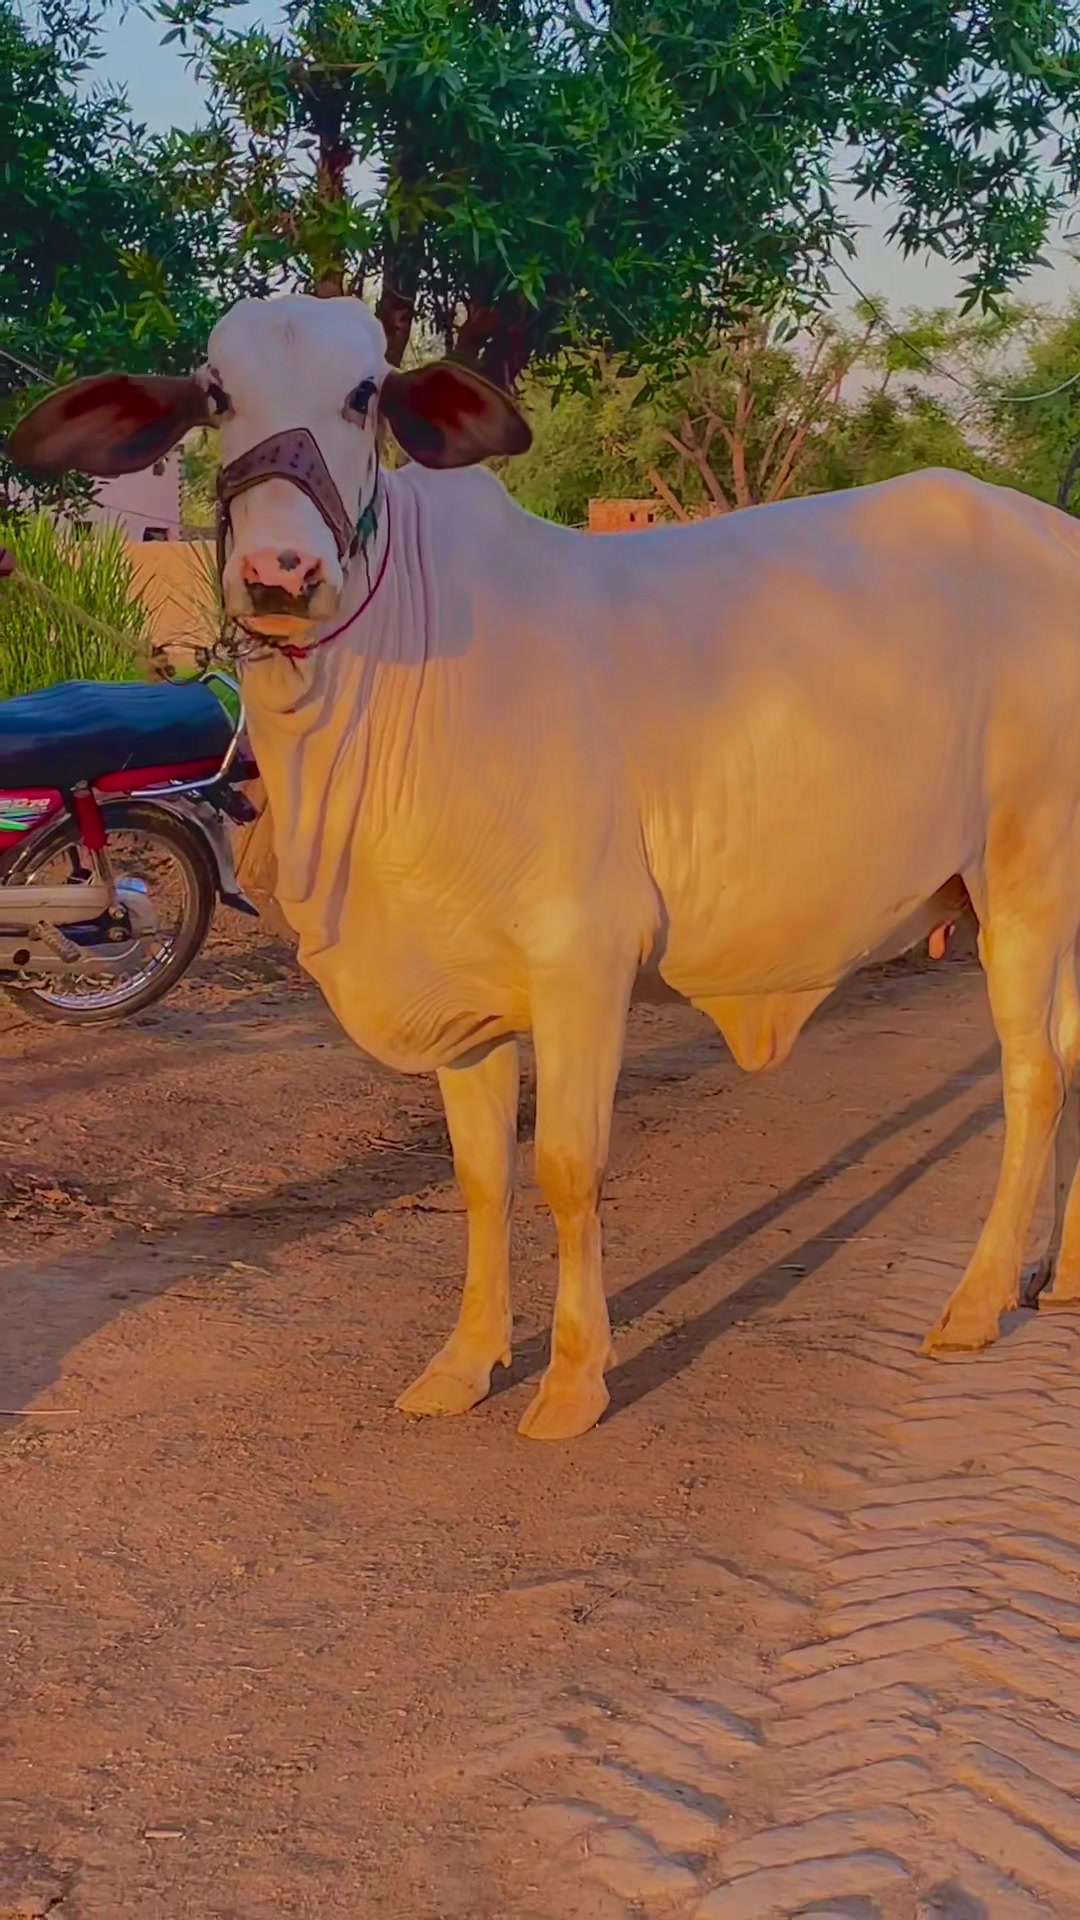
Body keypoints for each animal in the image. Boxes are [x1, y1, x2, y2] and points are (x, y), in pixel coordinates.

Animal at [13, 292, 1080, 1440]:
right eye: (216, 394)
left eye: (363, 394)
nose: (280, 575)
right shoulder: (461, 991)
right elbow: (483, 1177)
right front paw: (464, 1363)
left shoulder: (584, 962)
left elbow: (569, 1168)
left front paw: (573, 1378)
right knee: (1074, 1060)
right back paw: (1058, 1278)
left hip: (1024, 882)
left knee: (1031, 1077)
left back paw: (974, 1302)